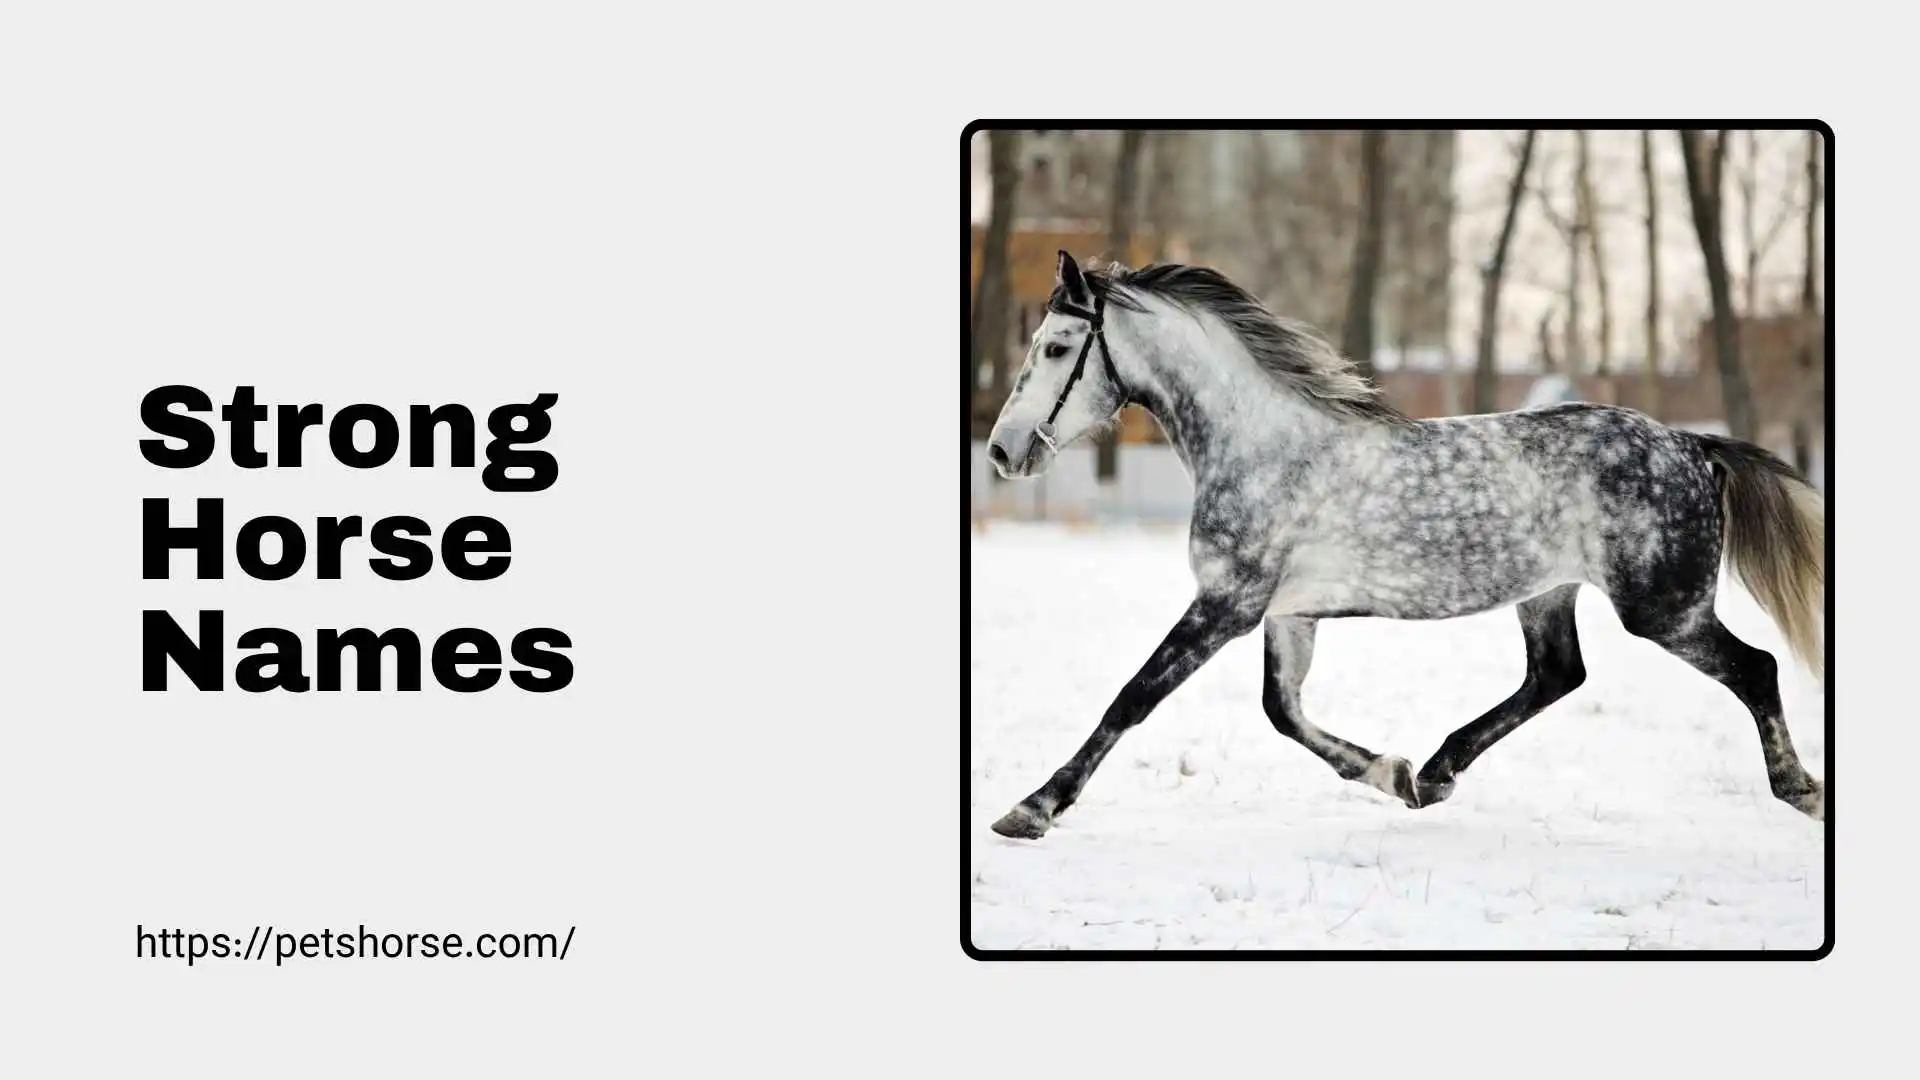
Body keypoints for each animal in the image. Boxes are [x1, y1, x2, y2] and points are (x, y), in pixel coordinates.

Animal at [983, 250, 1826, 840]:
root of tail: (1692, 444)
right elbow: (1282, 712)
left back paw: (1803, 791)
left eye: (1056, 346)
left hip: (1664, 609)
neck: (1261, 446)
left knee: (1755, 668)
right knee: (1557, 675)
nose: (1001, 451)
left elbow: (1133, 698)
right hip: (1548, 593)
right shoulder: (1287, 614)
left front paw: (1032, 808)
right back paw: (1438, 771)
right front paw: (1392, 774)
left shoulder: (1227, 603)